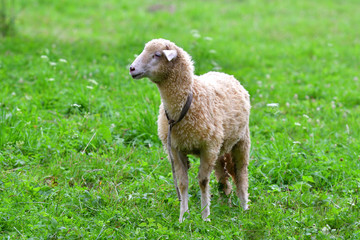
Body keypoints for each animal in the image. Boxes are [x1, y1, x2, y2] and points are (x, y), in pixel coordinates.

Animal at [129, 38, 250, 222]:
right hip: (219, 147)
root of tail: (226, 75)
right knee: (223, 177)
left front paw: (205, 217)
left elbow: (203, 181)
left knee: (241, 175)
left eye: (157, 55)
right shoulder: (175, 149)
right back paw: (225, 205)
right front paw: (183, 217)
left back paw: (244, 208)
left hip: (241, 142)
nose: (131, 69)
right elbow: (182, 183)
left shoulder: (207, 148)